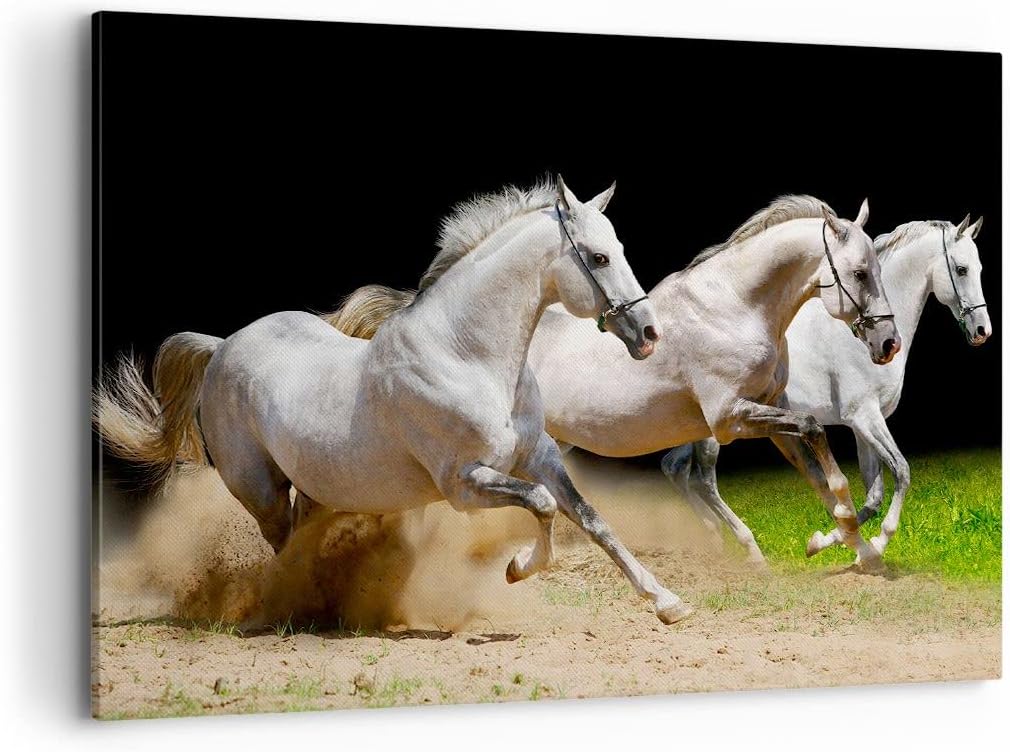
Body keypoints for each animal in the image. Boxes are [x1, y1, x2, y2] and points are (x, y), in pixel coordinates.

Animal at [95, 178, 698, 625]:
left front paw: (668, 603)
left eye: (620, 250)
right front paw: (515, 569)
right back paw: (287, 609)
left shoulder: (539, 456)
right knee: (282, 545)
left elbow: (591, 519)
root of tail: (221, 347)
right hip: (260, 490)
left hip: (317, 487)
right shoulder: (464, 484)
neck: (466, 355)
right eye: (598, 258)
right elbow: (545, 506)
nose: (648, 333)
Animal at [323, 195, 900, 612]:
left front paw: (855, 547)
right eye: (859, 272)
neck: (735, 307)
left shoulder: (769, 414)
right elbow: (817, 434)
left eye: (876, 268)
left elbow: (821, 471)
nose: (888, 343)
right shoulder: (730, 418)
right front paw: (843, 531)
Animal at [668, 214, 989, 564]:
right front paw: (873, 543)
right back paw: (747, 547)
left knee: (675, 469)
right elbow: (901, 471)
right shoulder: (866, 417)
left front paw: (833, 543)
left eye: (979, 267)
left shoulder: (863, 426)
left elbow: (873, 495)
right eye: (962, 269)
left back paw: (712, 538)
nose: (982, 330)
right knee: (703, 481)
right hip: (717, 431)